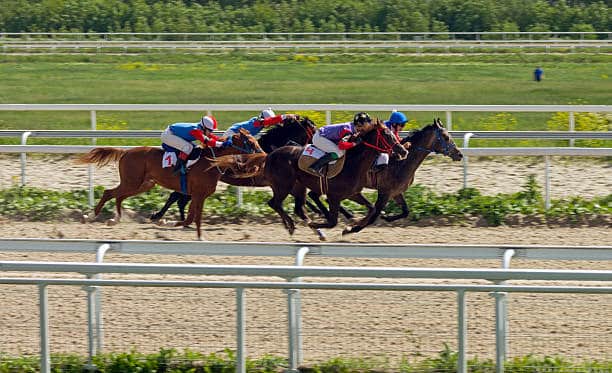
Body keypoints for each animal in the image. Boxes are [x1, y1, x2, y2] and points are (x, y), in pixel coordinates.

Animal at [76, 127, 260, 238]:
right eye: (250, 142)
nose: (262, 154)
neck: (210, 162)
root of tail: (125, 152)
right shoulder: (198, 194)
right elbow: (193, 217)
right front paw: (172, 223)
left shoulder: (197, 195)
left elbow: (191, 217)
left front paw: (169, 222)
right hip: (132, 182)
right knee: (109, 193)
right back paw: (91, 215)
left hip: (143, 184)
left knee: (118, 196)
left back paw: (115, 219)